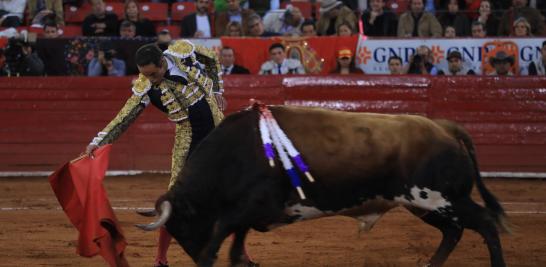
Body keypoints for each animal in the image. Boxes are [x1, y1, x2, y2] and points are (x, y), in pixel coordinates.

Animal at [135, 105, 506, 267]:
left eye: (183, 223)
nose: (193, 254)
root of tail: (445, 128)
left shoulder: (256, 203)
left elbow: (224, 230)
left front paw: (210, 258)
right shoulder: (250, 211)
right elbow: (236, 238)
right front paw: (242, 261)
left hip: (443, 198)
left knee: (485, 223)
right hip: (423, 203)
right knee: (453, 232)